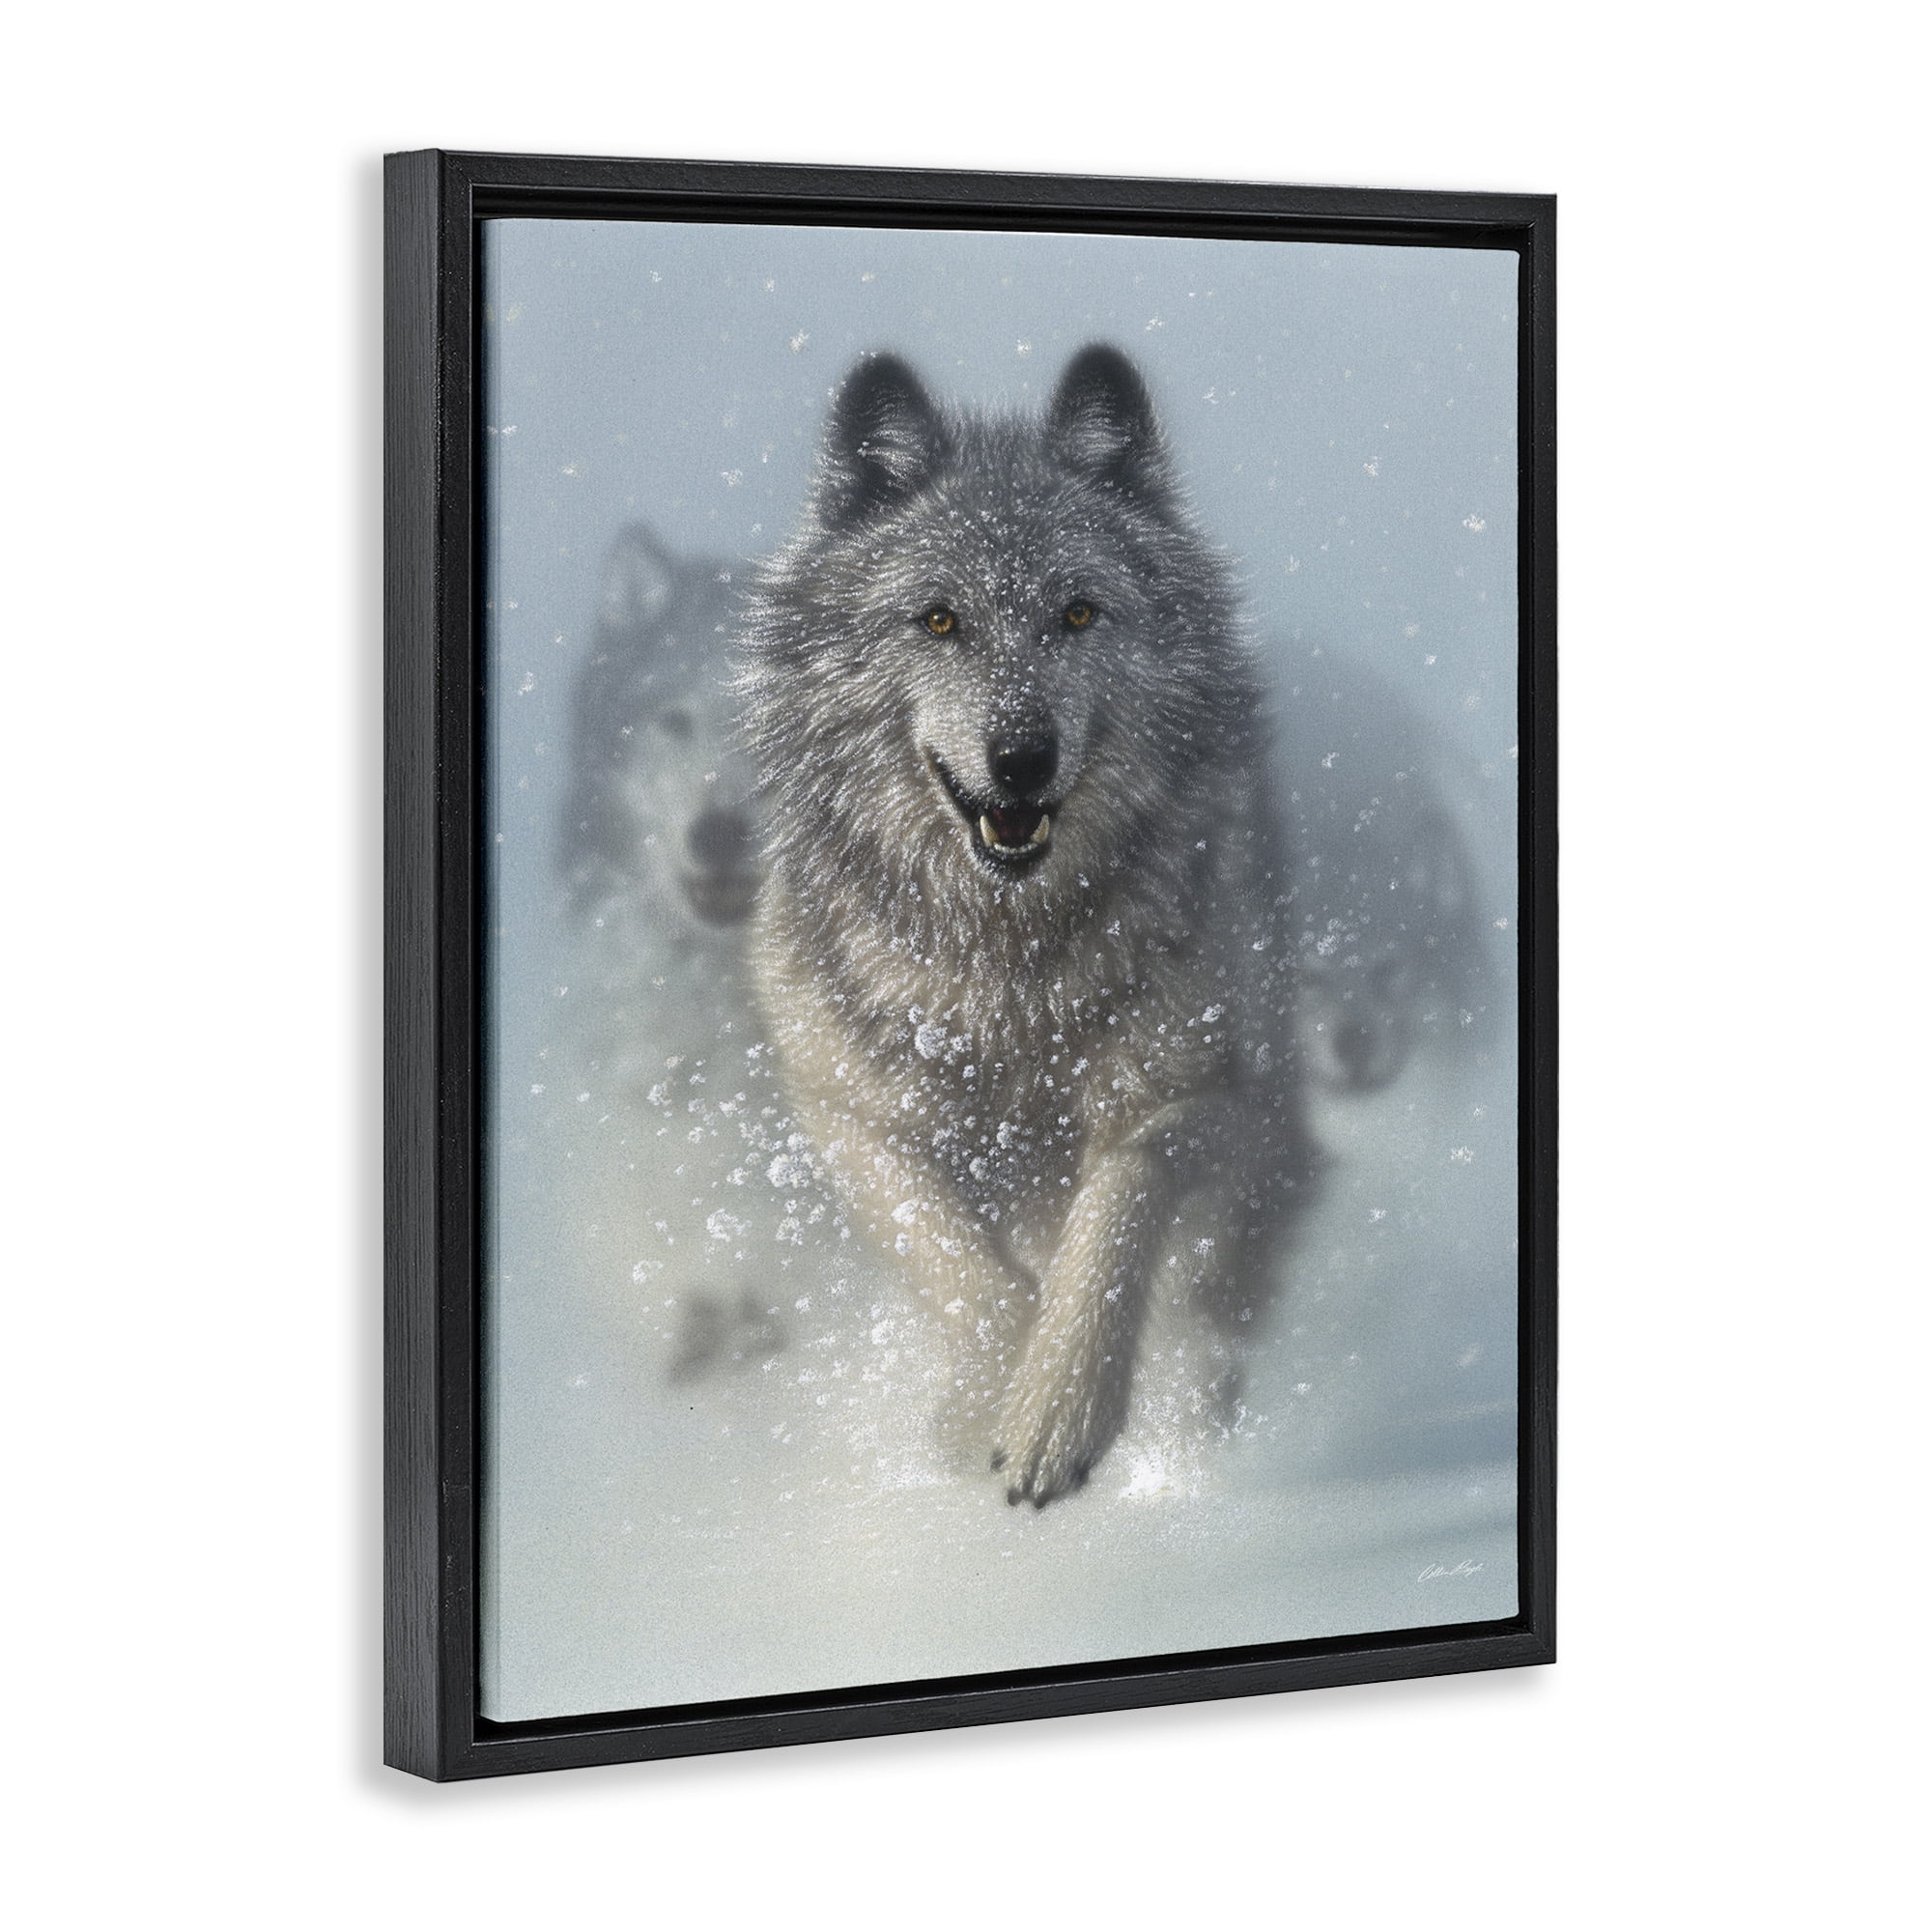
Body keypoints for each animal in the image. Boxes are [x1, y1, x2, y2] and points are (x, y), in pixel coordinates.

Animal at [738, 346, 1312, 1506]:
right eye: (939, 620)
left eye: (1078, 615)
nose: (1020, 757)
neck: (1003, 971)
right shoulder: (845, 1114)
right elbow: (963, 1267)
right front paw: (981, 1406)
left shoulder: (1204, 1094)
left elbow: (1114, 1213)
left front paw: (1056, 1410)